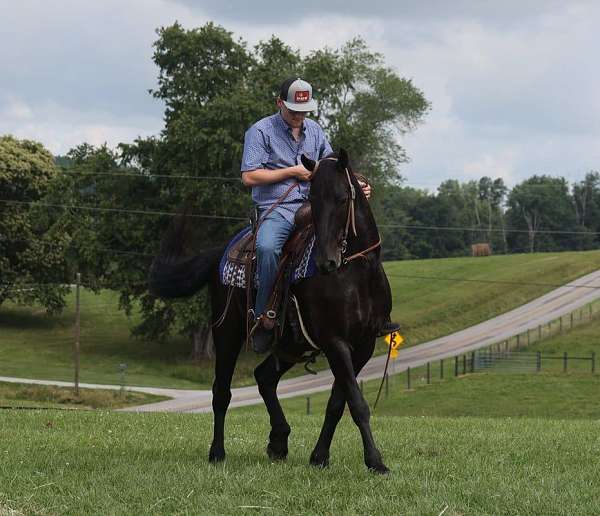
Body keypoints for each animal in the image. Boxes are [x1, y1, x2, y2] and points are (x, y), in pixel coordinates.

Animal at [150, 148, 394, 472]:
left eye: (343, 198)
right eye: (313, 199)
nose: (326, 261)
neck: (356, 274)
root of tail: (219, 253)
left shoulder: (363, 345)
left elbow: (337, 403)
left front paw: (320, 457)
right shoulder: (336, 343)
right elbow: (357, 403)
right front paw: (375, 461)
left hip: (290, 345)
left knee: (264, 377)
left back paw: (279, 440)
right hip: (226, 332)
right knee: (221, 392)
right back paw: (218, 452)